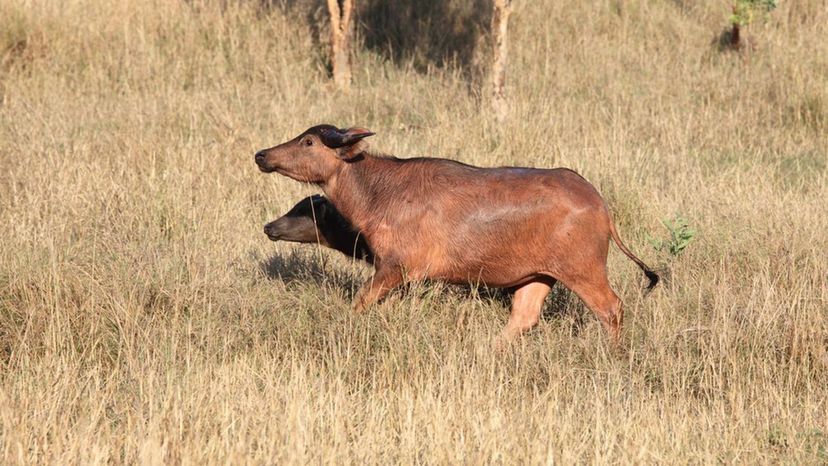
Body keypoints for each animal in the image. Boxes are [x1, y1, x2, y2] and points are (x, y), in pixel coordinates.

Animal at [256, 125, 656, 344]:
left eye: (309, 142)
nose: (262, 155)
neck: (377, 192)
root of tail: (600, 205)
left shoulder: (394, 269)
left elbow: (359, 304)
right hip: (538, 277)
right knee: (523, 318)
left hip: (583, 271)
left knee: (612, 308)